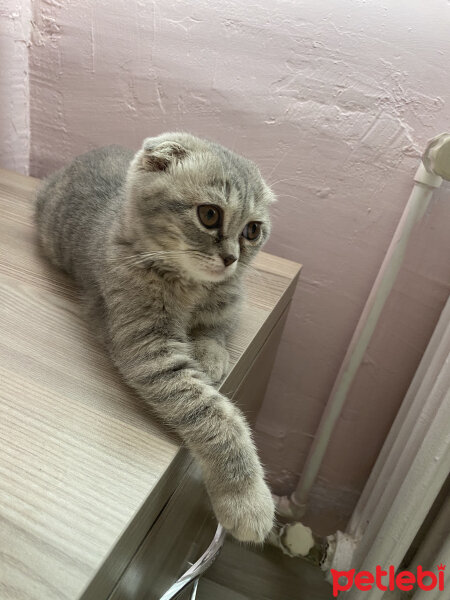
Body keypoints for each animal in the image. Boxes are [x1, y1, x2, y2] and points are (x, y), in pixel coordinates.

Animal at [34, 132, 274, 544]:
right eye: (210, 215)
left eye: (252, 231)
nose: (231, 258)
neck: (192, 286)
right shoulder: (149, 348)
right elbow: (216, 415)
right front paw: (246, 497)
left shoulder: (231, 300)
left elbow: (218, 327)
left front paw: (210, 355)